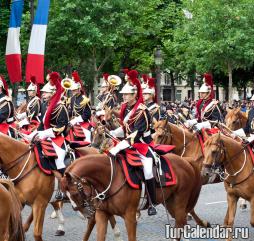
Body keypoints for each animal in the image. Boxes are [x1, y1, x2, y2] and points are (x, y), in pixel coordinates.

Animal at [61, 150, 202, 240]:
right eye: (65, 195)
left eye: (74, 193)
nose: (84, 215)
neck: (111, 178)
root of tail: (185, 161)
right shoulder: (102, 214)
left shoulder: (129, 217)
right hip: (170, 203)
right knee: (181, 221)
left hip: (179, 201)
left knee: (180, 223)